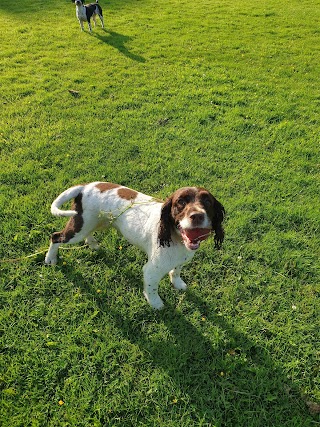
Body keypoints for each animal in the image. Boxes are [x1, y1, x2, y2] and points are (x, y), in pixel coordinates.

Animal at [45, 182, 225, 310]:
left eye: (207, 201)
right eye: (180, 202)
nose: (197, 216)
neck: (176, 238)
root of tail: (85, 186)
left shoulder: (181, 259)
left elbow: (176, 271)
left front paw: (178, 283)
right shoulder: (151, 269)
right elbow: (152, 288)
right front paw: (155, 303)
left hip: (96, 222)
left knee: (87, 233)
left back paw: (93, 244)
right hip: (80, 226)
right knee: (56, 237)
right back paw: (50, 259)